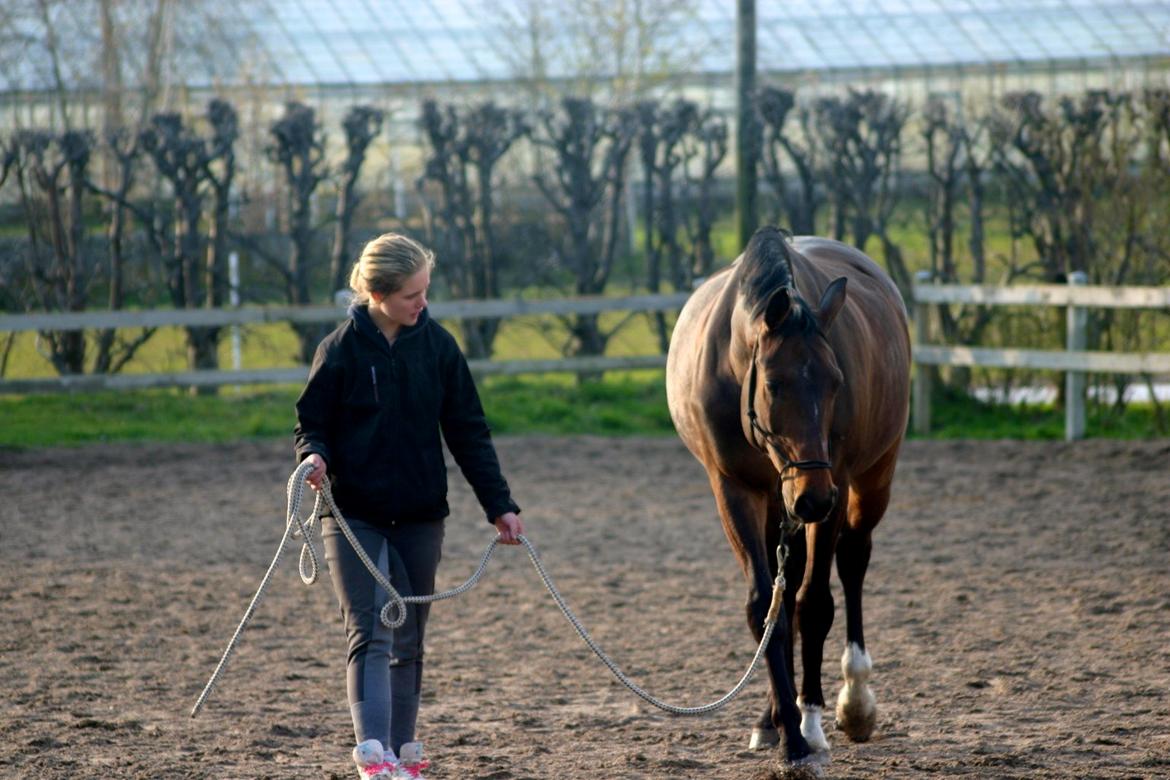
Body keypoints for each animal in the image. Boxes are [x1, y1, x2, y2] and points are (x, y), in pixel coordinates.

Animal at [669, 226, 912, 767]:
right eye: (776, 384)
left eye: (836, 381)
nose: (815, 499)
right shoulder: (734, 489)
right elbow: (767, 608)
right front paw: (786, 730)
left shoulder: (834, 483)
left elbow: (815, 604)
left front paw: (810, 723)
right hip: (781, 503)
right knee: (789, 584)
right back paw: (770, 718)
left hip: (871, 479)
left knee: (852, 561)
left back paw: (853, 699)